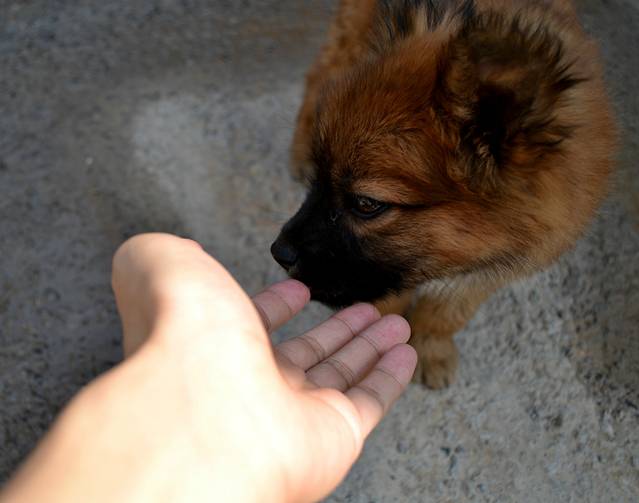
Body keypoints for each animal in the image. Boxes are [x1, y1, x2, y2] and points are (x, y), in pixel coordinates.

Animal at [271, 0, 616, 388]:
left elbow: (448, 310)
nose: (278, 252)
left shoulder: (500, 263)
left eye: (366, 204)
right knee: (323, 69)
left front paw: (429, 346)